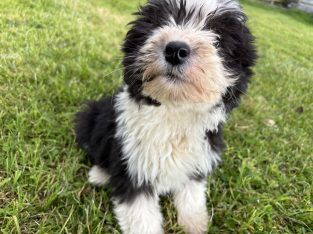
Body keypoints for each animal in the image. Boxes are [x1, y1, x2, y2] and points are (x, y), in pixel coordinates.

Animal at [74, 0, 255, 233]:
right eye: (158, 24)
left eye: (217, 38)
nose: (176, 50)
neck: (174, 111)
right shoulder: (134, 166)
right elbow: (141, 217)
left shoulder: (198, 159)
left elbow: (192, 195)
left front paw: (195, 223)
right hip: (90, 117)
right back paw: (100, 174)